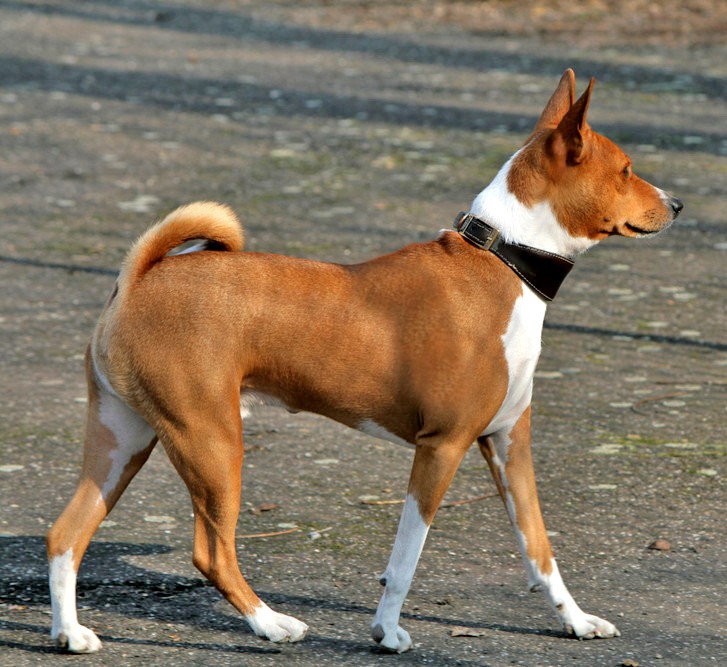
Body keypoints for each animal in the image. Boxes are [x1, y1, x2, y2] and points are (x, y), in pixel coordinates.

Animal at [45, 70, 684, 656]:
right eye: (626, 170)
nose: (677, 204)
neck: (504, 262)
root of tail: (140, 278)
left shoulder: (507, 443)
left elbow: (539, 548)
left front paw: (575, 620)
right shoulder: (442, 446)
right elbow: (406, 557)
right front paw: (387, 631)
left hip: (124, 441)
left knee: (64, 535)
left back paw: (70, 633)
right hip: (211, 442)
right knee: (211, 552)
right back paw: (271, 624)